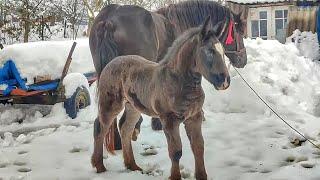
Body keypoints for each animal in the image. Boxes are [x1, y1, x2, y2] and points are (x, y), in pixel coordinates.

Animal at [91, 16, 229, 180]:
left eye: (223, 51)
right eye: (210, 51)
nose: (225, 81)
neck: (179, 81)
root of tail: (111, 63)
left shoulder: (194, 117)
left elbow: (198, 147)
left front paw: (201, 176)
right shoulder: (169, 120)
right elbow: (176, 152)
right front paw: (174, 176)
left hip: (132, 106)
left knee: (125, 128)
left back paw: (132, 165)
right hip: (110, 104)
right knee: (100, 128)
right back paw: (99, 166)